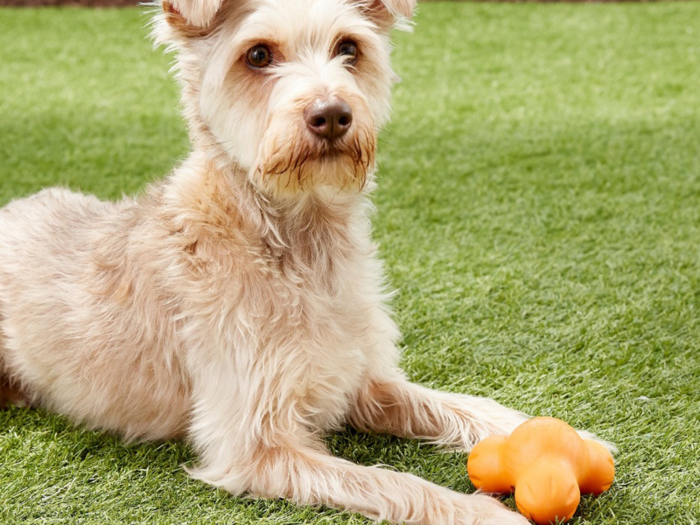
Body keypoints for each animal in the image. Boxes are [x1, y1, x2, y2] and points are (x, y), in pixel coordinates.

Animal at [0, 2, 608, 520]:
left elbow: (456, 404)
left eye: (349, 48)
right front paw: (481, 512)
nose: (332, 114)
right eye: (258, 55)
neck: (298, 247)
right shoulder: (255, 446)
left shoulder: (363, 381)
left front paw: (566, 438)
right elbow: (392, 482)